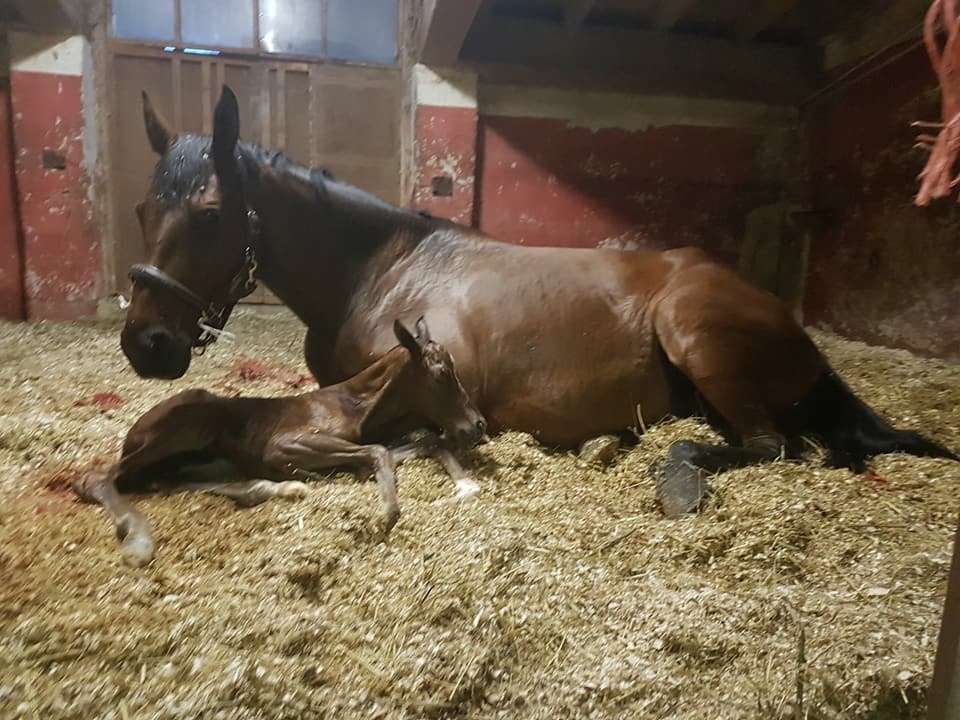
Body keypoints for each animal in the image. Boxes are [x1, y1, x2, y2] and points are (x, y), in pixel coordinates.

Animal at [76, 317, 487, 567]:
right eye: (441, 374)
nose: (478, 425)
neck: (357, 406)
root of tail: (135, 430)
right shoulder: (282, 445)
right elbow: (379, 451)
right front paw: (384, 513)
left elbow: (424, 443)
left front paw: (465, 484)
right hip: (184, 429)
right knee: (98, 478)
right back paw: (138, 541)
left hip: (186, 457)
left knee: (166, 482)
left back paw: (280, 488)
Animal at [119, 86, 957, 516]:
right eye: (140, 210)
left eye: (211, 215)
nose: (144, 344)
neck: (382, 271)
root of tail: (795, 330)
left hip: (694, 333)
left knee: (768, 445)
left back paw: (674, 478)